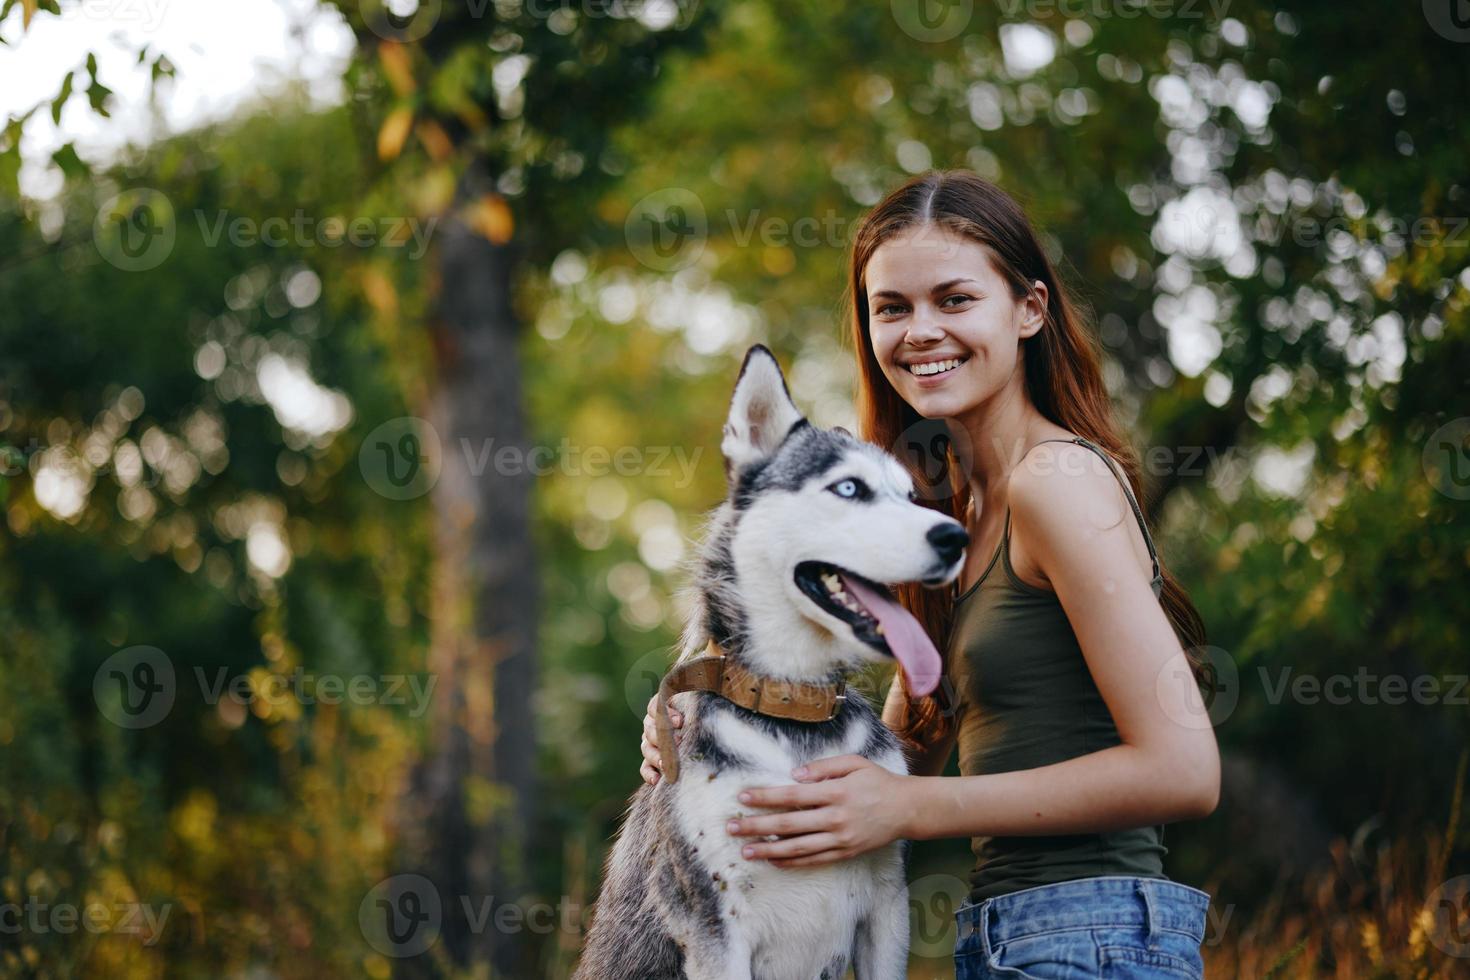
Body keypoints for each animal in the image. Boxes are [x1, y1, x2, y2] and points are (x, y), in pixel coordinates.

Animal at [570, 345, 964, 980]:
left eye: (908, 497)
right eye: (849, 488)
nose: (957, 538)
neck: (791, 711)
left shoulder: (887, 907)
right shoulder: (713, 925)